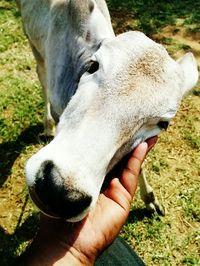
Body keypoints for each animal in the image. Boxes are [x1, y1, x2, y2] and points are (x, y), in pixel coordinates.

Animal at [17, 0, 198, 221]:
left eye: (163, 123)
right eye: (93, 66)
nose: (56, 189)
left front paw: (151, 200)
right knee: (41, 75)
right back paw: (48, 125)